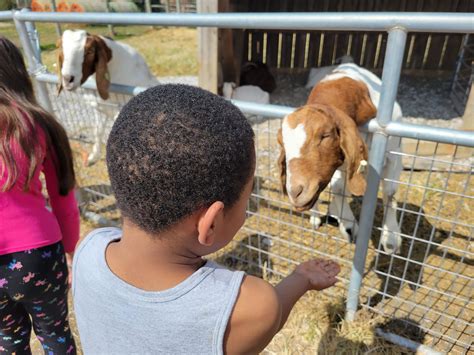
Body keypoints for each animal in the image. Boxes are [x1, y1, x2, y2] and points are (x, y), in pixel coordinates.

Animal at [278, 63, 404, 253]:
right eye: (283, 143)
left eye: (325, 135)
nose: (295, 192)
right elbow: (337, 187)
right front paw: (349, 226)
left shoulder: (393, 153)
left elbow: (390, 192)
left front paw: (391, 239)